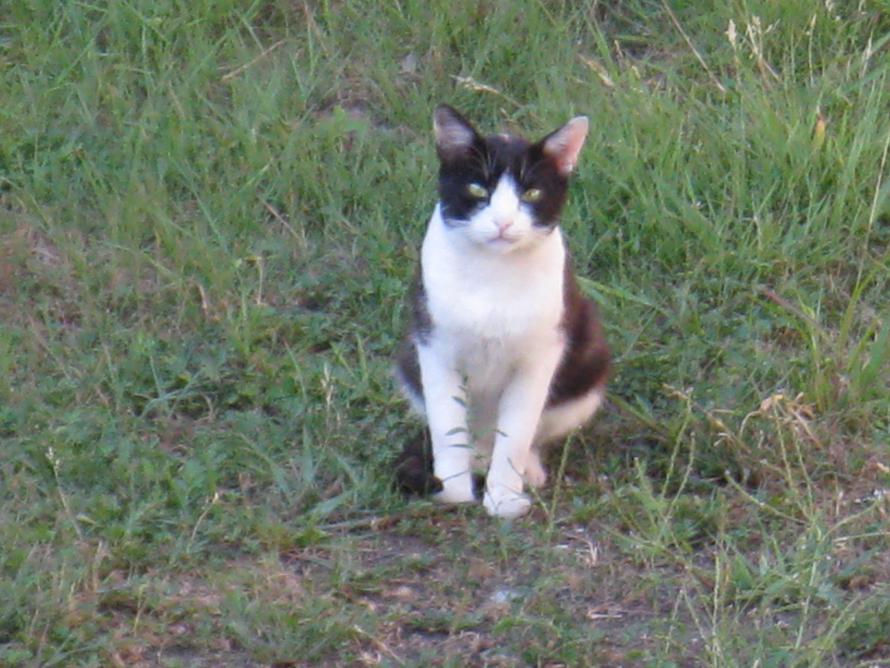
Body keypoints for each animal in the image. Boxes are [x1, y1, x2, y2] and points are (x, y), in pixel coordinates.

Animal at [394, 105, 608, 516]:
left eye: (531, 192)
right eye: (478, 189)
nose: (503, 221)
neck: (493, 273)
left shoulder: (541, 355)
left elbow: (518, 432)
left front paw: (504, 498)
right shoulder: (434, 346)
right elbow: (447, 425)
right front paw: (453, 491)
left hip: (588, 368)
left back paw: (528, 468)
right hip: (408, 363)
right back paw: (476, 459)